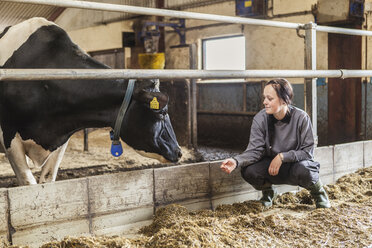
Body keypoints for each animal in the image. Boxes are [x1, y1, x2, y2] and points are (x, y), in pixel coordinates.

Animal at [0, 17, 182, 185]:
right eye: (162, 113)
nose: (179, 151)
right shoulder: (9, 136)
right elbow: (28, 183)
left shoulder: (61, 139)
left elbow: (48, 180)